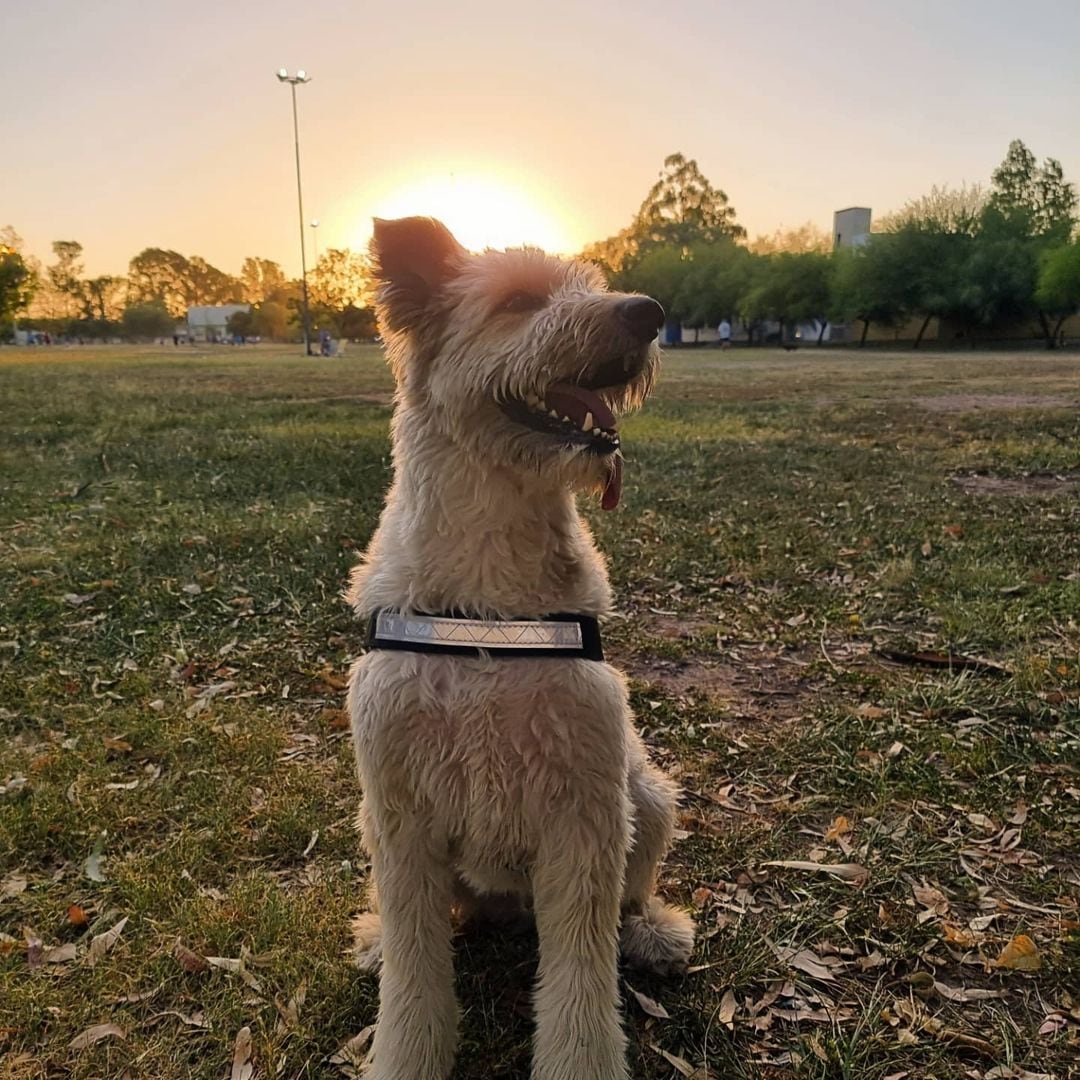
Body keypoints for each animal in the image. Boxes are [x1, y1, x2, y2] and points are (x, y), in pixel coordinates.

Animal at [349, 219, 695, 1080]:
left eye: (586, 284)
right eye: (518, 301)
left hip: (646, 794)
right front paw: (404, 1053)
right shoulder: (399, 811)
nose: (648, 312)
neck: (488, 594)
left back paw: (653, 932)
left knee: (633, 898)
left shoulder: (584, 812)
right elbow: (415, 966)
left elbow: (580, 977)